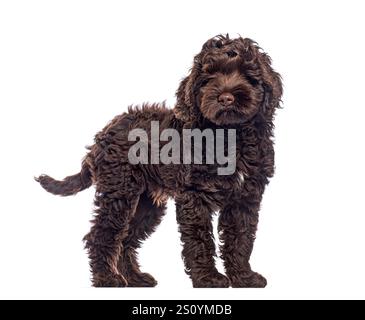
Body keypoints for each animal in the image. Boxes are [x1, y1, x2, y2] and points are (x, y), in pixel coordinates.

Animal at [35, 35, 282, 288]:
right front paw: (209, 278)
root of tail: (103, 134)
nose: (226, 98)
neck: (230, 136)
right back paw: (107, 278)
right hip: (119, 192)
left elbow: (240, 239)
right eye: (208, 78)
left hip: (146, 202)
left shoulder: (244, 198)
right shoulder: (194, 197)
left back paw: (135, 277)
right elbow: (200, 239)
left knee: (127, 237)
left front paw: (243, 277)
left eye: (247, 74)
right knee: (102, 234)